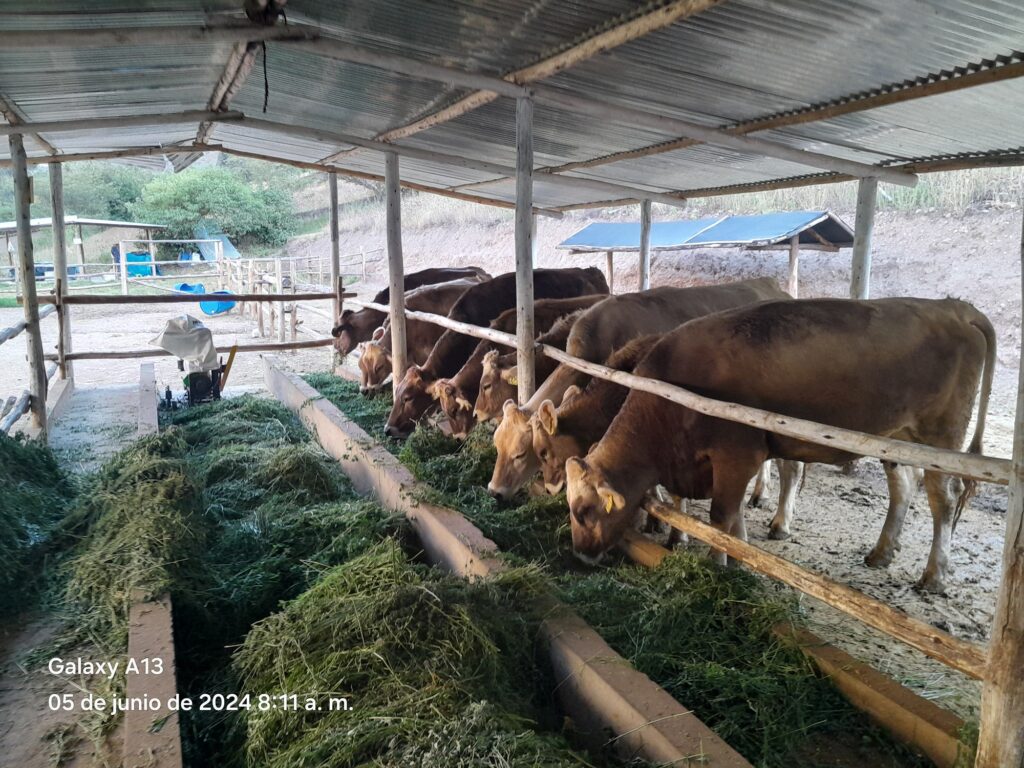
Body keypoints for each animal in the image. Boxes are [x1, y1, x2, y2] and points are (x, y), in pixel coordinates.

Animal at [566, 297, 995, 593]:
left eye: (583, 511)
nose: (580, 554)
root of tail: (954, 307)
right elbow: (728, 513)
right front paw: (737, 554)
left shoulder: (738, 453)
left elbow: (721, 515)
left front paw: (718, 562)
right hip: (896, 439)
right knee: (902, 487)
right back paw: (882, 552)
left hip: (941, 439)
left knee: (943, 501)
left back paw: (934, 573)